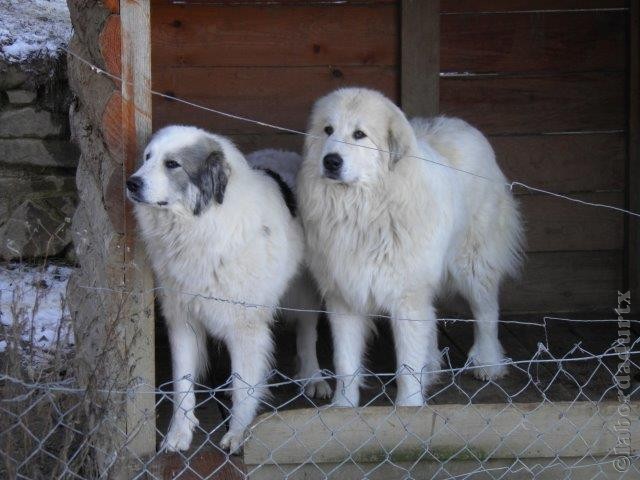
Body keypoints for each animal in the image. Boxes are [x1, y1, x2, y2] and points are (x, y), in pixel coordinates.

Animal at [124, 125, 328, 452]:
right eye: (147, 157)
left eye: (172, 164)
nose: (131, 182)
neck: (203, 226)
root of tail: (285, 153)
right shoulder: (183, 321)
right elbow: (182, 384)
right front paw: (179, 434)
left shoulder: (245, 327)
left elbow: (245, 388)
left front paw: (239, 435)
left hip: (305, 292)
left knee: (307, 333)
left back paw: (313, 377)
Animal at [298, 88, 524, 406]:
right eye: (327, 130)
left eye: (359, 134)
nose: (330, 161)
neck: (363, 211)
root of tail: (462, 125)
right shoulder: (345, 296)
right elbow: (345, 364)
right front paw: (343, 407)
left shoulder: (407, 294)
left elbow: (407, 366)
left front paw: (409, 407)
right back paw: (431, 367)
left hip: (474, 265)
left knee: (486, 314)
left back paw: (489, 364)